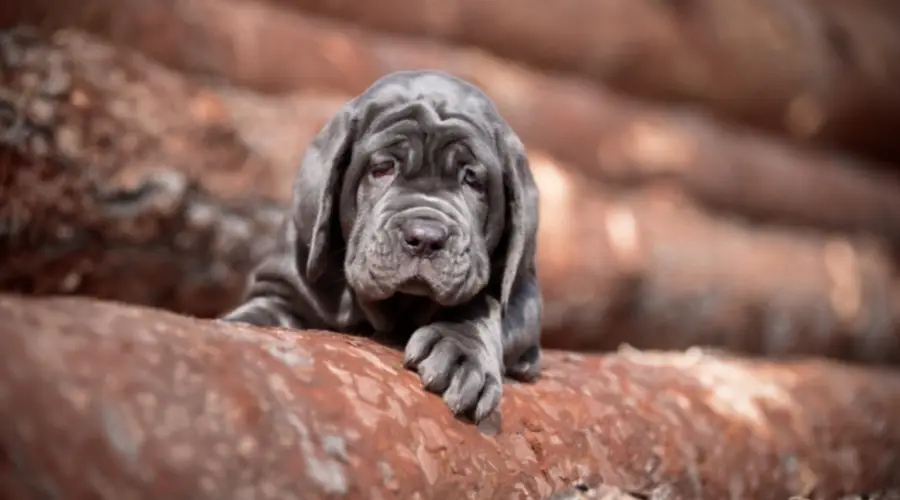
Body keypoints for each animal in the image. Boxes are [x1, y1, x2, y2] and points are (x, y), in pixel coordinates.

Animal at [220, 70, 540, 422]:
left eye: (472, 180)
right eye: (383, 168)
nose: (424, 237)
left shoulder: (524, 294)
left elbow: (487, 306)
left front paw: (460, 353)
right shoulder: (285, 285)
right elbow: (258, 314)